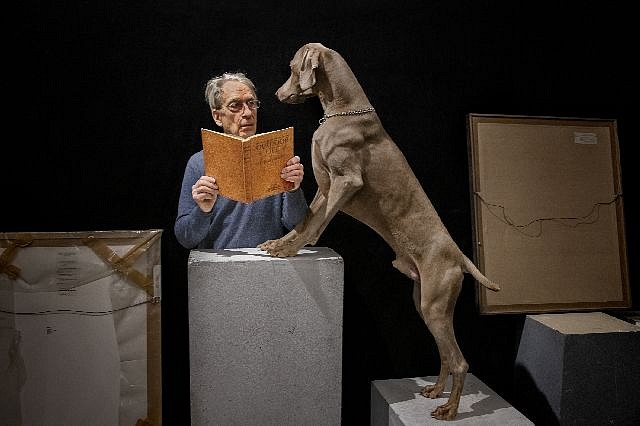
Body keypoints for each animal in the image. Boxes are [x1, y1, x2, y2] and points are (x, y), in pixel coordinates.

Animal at [258, 41, 500, 422]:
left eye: (293, 67)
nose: (277, 94)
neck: (343, 111)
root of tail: (459, 255)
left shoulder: (346, 183)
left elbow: (316, 225)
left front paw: (291, 251)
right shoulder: (325, 187)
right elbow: (304, 221)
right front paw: (279, 243)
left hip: (434, 305)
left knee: (459, 361)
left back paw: (449, 409)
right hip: (425, 303)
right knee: (447, 355)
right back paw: (435, 391)